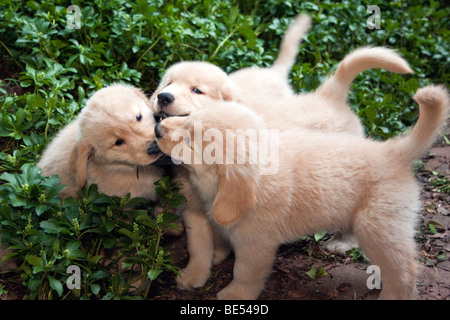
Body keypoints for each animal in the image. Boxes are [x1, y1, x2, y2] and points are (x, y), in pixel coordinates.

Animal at [156, 85, 450, 300]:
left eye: (189, 140)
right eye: (187, 119)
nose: (158, 128)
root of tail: (393, 151)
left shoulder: (255, 244)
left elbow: (245, 273)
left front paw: (234, 294)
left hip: (380, 229)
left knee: (405, 272)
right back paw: (341, 242)